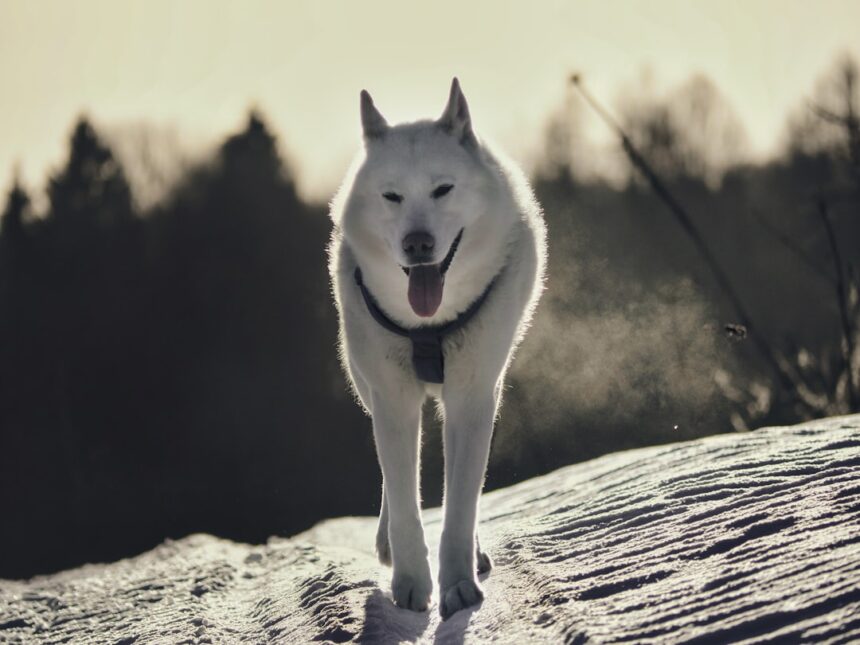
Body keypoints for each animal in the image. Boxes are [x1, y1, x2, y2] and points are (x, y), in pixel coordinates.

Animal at [328, 78, 546, 619]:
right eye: (392, 196)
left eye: (442, 189)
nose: (418, 244)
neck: (429, 323)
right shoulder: (393, 399)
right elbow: (406, 500)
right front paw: (410, 582)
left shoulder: (472, 396)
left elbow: (461, 503)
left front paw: (459, 585)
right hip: (368, 385)